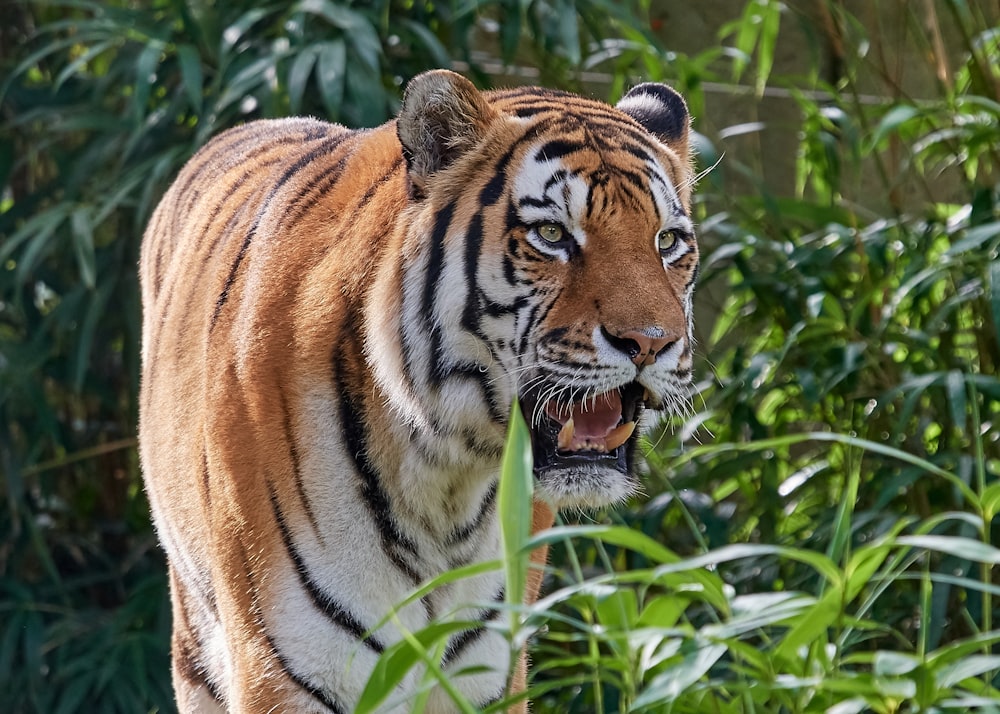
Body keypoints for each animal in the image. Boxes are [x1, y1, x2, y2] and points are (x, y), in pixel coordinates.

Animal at [139, 68, 696, 712]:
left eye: (667, 242)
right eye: (552, 234)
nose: (652, 343)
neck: (443, 481)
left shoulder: (489, 673)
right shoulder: (285, 668)